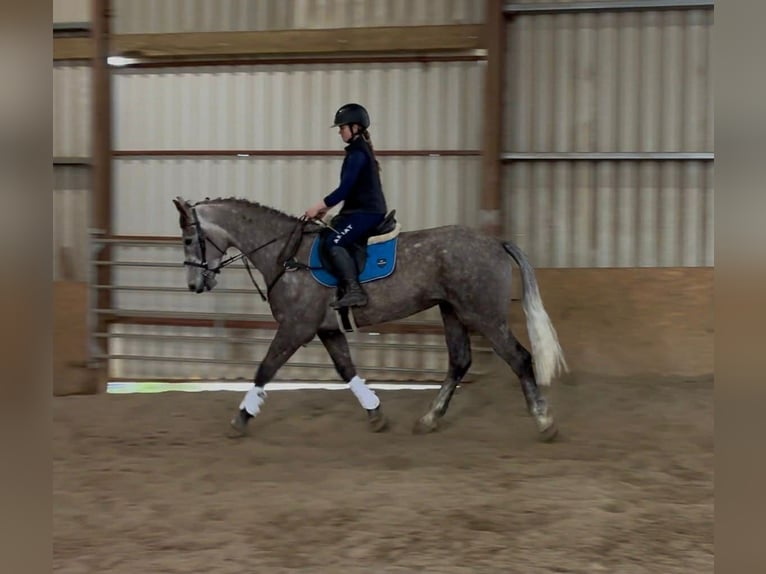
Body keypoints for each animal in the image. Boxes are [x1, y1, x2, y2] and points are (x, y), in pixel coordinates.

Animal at [172, 196, 568, 441]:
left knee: (520, 358)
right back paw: (429, 420)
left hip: (483, 314)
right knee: (459, 362)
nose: (194, 284)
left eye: (190, 238)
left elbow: (264, 369)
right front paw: (376, 414)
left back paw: (545, 421)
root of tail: (495, 242)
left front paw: (240, 420)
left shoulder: (296, 328)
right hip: (452, 311)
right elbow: (346, 369)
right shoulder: (326, 330)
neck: (285, 255)